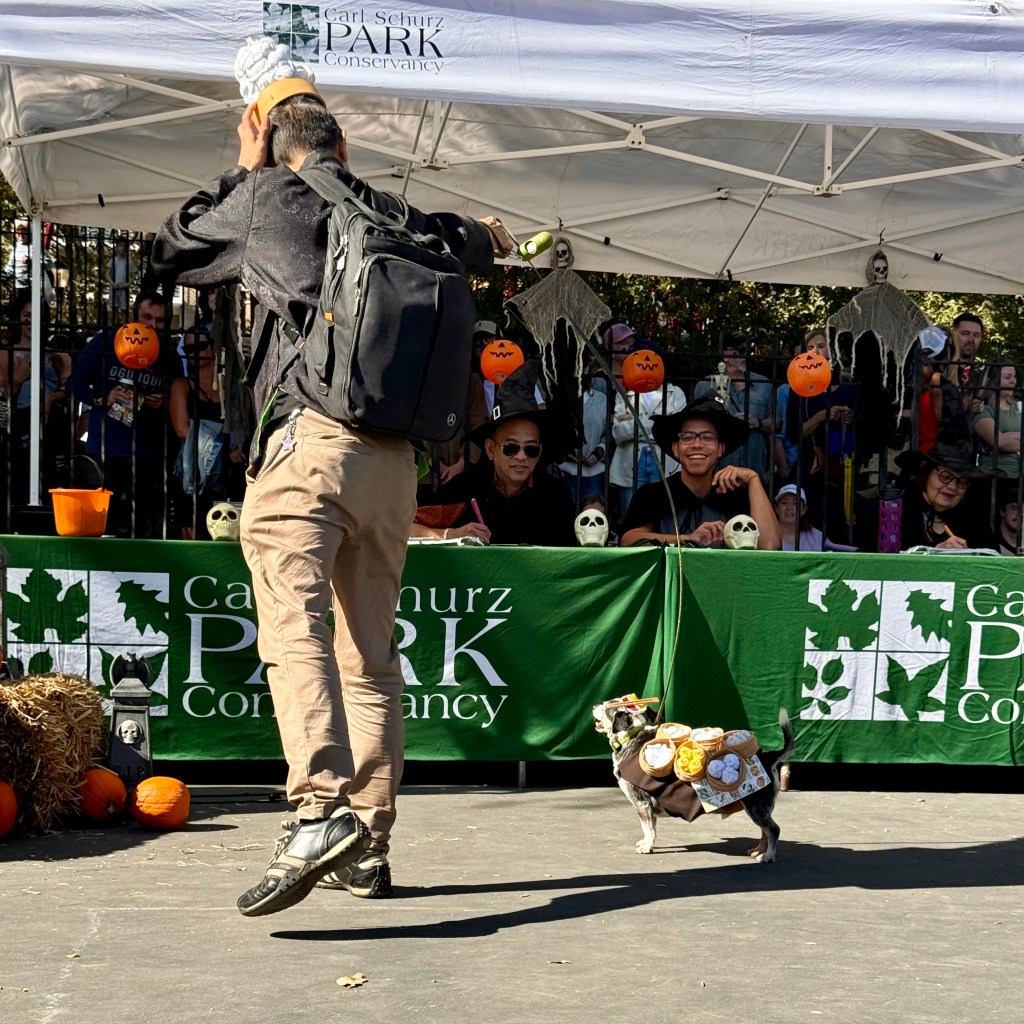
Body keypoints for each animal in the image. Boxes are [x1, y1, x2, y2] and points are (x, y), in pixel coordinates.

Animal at [592, 699, 795, 862]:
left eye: (606, 706)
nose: (594, 706)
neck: (630, 737)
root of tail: (768, 756)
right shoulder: (648, 805)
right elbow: (652, 828)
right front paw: (647, 843)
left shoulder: (642, 803)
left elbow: (647, 828)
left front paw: (647, 847)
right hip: (759, 808)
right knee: (765, 831)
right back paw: (759, 851)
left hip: (755, 806)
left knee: (773, 830)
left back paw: (768, 856)